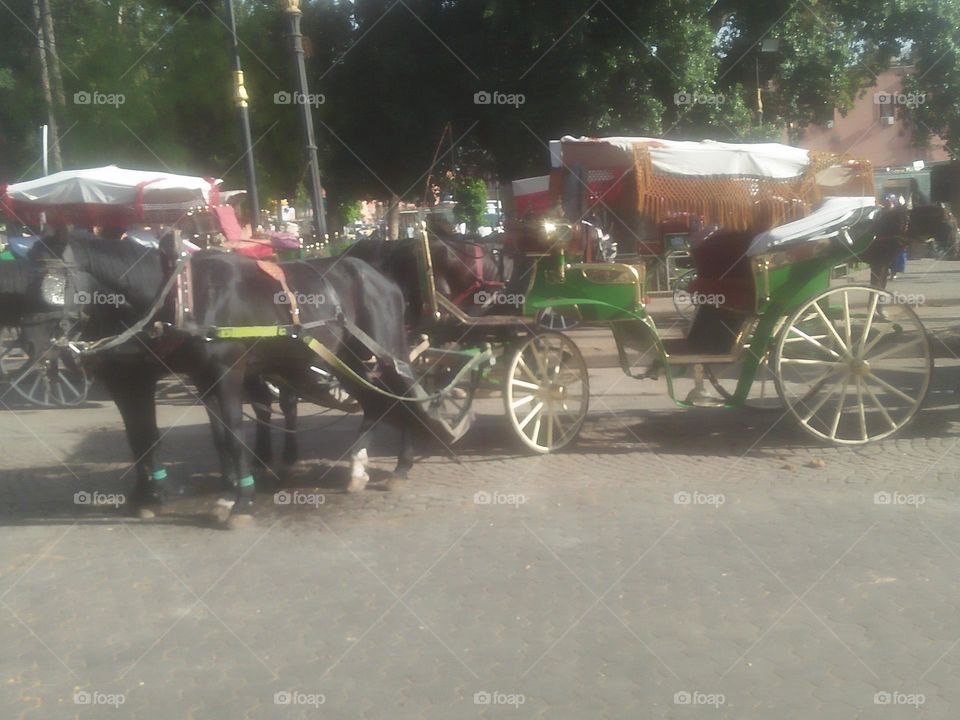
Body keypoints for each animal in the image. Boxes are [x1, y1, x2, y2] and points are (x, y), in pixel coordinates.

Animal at [48, 236, 442, 524]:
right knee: (375, 402)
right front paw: (217, 491)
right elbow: (209, 436)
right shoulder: (191, 377)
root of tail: (382, 278)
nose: (57, 351)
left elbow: (233, 434)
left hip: (384, 352)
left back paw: (401, 464)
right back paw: (358, 468)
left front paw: (241, 501)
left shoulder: (220, 373)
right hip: (350, 359)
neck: (182, 295)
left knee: (402, 395)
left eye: (53, 281)